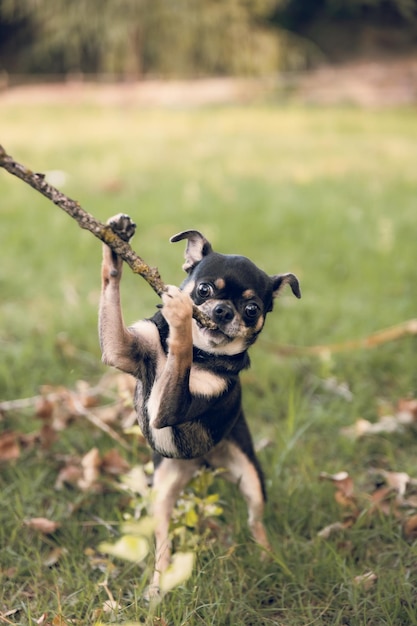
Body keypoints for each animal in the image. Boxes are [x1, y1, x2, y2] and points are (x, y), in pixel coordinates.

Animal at [98, 212, 300, 588]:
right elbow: (112, 282)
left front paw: (179, 317)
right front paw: (114, 243)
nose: (221, 311)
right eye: (204, 289)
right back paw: (158, 584)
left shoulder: (169, 407)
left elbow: (179, 355)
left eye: (252, 309)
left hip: (251, 477)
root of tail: (203, 463)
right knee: (163, 538)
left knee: (256, 520)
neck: (203, 354)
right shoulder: (122, 350)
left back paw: (268, 558)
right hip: (162, 489)